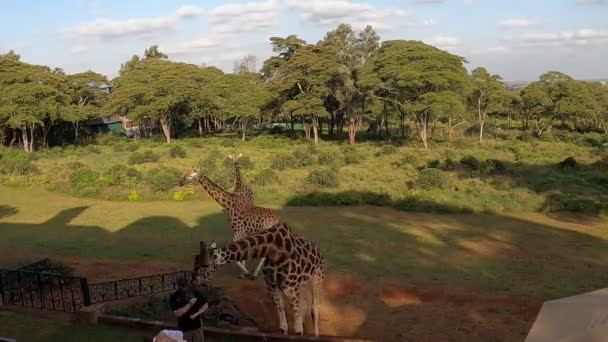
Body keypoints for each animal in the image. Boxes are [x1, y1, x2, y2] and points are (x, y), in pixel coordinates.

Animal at [195, 222, 328, 336]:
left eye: (203, 267)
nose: (195, 281)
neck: (274, 250)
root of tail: (319, 250)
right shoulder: (272, 285)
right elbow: (282, 316)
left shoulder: (290, 287)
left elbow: (298, 324)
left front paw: (300, 331)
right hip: (303, 282)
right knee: (305, 304)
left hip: (317, 276)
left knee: (314, 307)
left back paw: (316, 334)